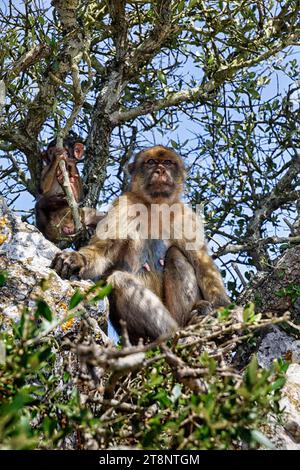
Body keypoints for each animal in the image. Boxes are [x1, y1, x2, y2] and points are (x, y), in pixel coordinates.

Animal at [51, 145, 230, 344]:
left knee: (176, 255)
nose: (160, 170)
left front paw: (224, 308)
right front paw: (77, 258)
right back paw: (174, 333)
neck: (155, 206)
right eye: (151, 162)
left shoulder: (185, 216)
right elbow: (103, 251)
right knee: (119, 280)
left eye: (168, 162)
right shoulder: (124, 205)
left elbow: (202, 263)